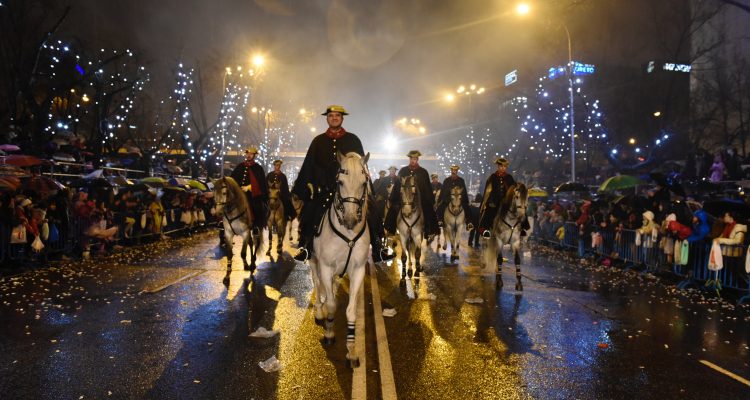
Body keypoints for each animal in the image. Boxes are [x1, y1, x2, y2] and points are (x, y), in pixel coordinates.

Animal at [310, 151, 372, 368]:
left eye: (364, 182)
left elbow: (350, 311)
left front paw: (351, 351)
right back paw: (319, 312)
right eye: (340, 181)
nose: (351, 220)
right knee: (317, 283)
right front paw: (329, 332)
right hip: (314, 261)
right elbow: (331, 304)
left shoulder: (358, 270)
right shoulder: (326, 267)